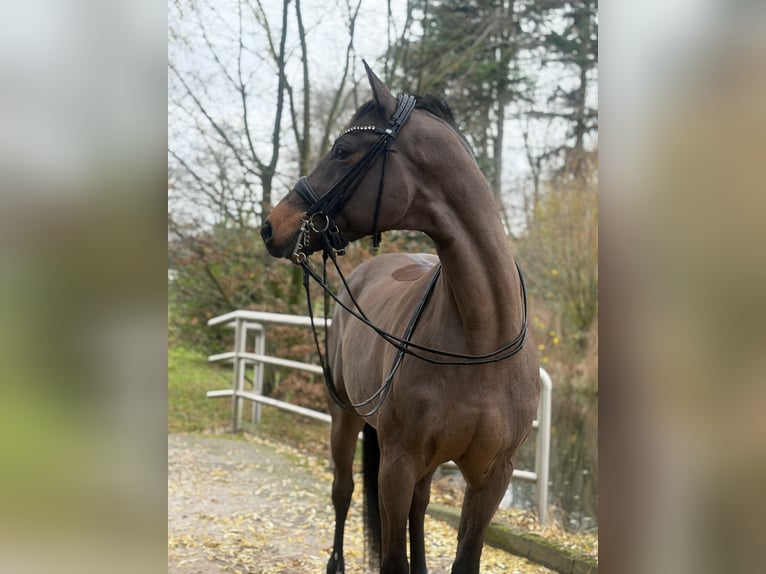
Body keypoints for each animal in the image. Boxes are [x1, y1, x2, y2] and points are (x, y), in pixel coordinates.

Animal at [260, 62, 539, 574]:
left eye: (343, 151)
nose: (272, 226)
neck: (481, 339)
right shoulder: (397, 464)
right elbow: (391, 556)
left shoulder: (492, 477)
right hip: (345, 418)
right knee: (344, 492)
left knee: (419, 507)